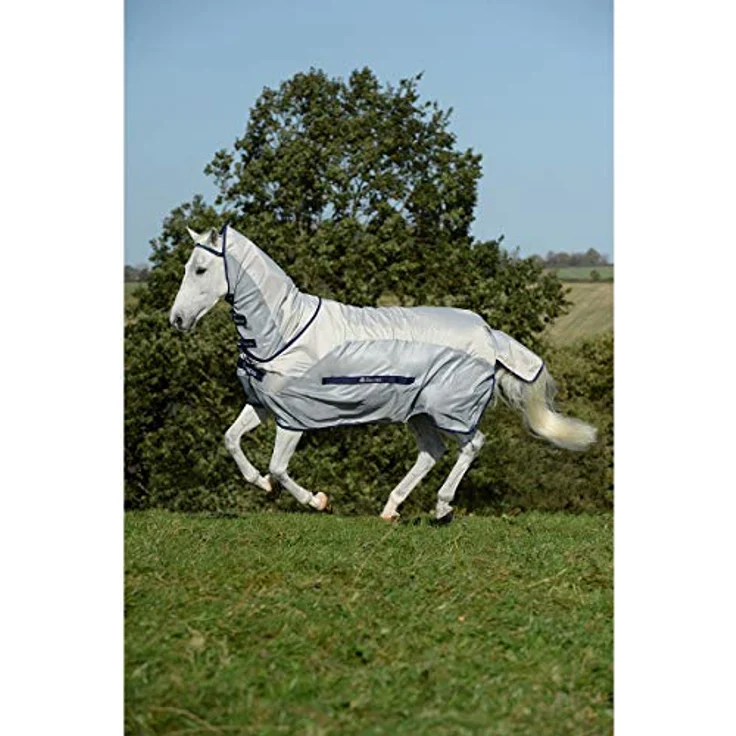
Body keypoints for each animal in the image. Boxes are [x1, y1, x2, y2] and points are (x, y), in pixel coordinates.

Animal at [169, 224, 596, 523]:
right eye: (188, 268)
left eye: (201, 269)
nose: (176, 320)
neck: (284, 331)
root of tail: (488, 333)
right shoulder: (261, 404)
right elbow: (231, 440)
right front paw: (262, 484)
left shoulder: (292, 418)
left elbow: (278, 466)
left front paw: (318, 501)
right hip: (419, 413)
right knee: (431, 453)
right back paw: (391, 509)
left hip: (451, 411)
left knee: (471, 445)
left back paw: (442, 508)